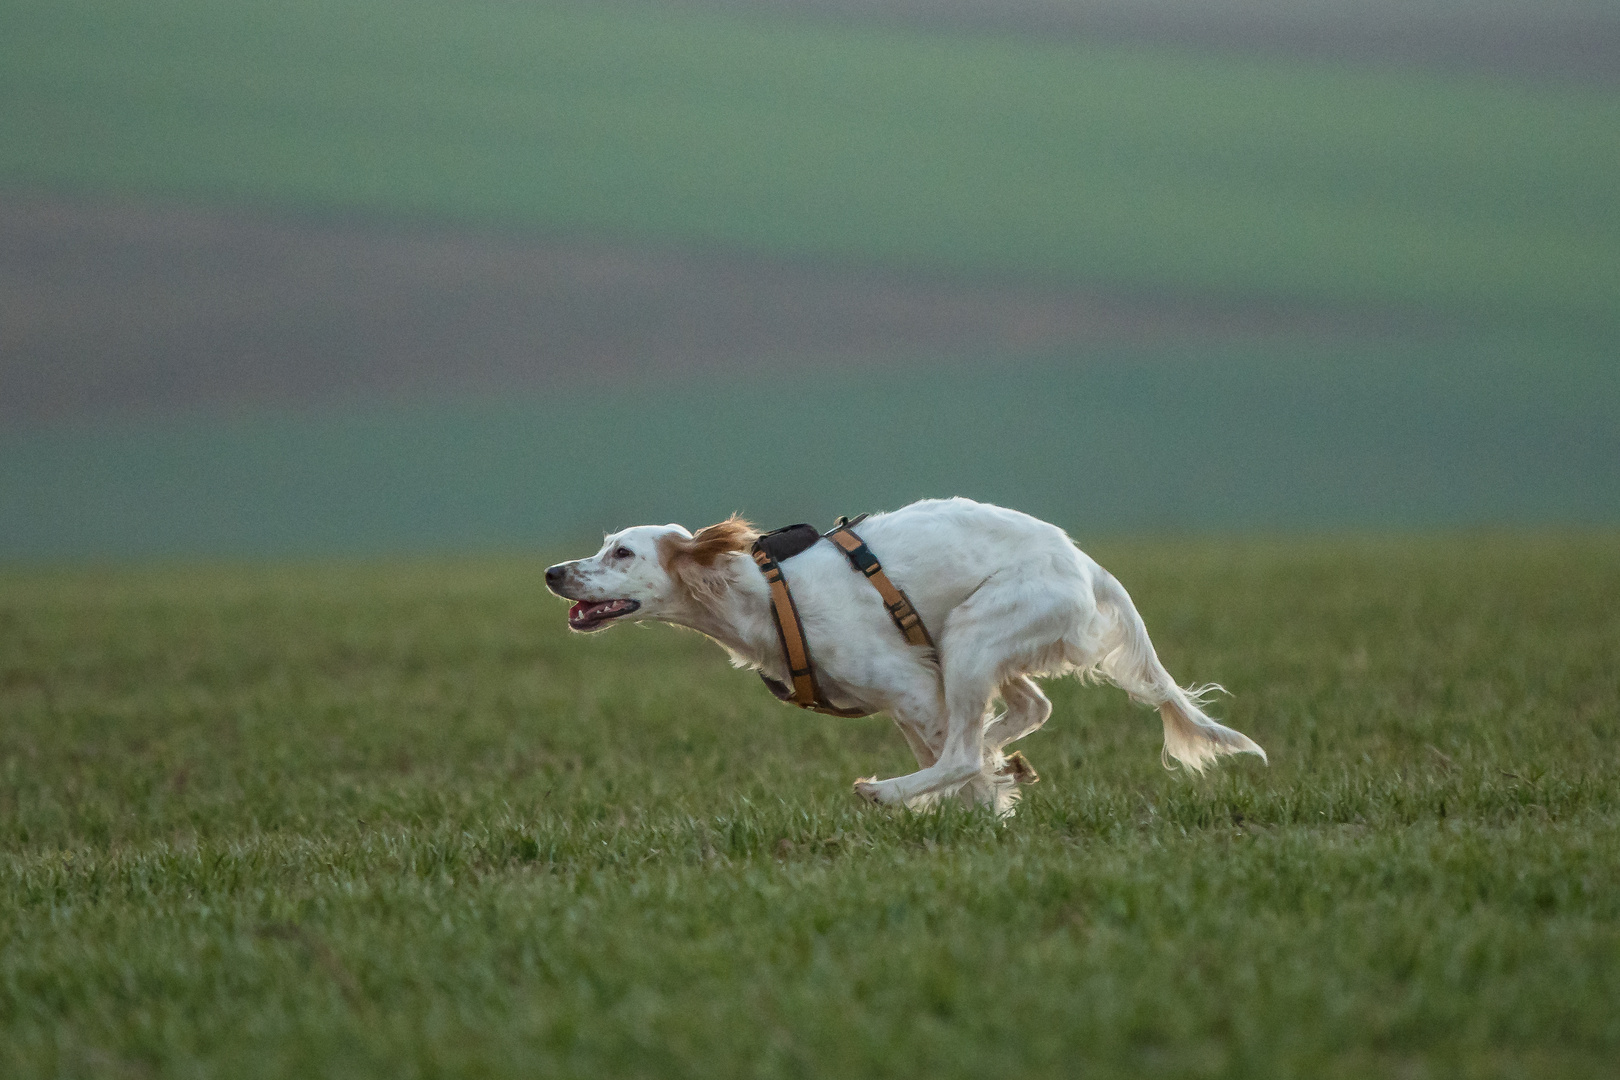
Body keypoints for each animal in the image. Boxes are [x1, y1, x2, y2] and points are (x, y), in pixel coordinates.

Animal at [544, 495, 1263, 809]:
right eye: (604, 546)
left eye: (623, 553)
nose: (552, 572)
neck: (760, 593)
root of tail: (1085, 562)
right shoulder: (910, 695)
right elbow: (954, 760)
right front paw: (990, 794)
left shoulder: (911, 686)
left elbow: (956, 765)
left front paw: (981, 808)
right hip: (966, 646)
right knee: (1027, 711)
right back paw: (1000, 757)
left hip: (971, 635)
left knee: (969, 748)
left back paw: (889, 792)